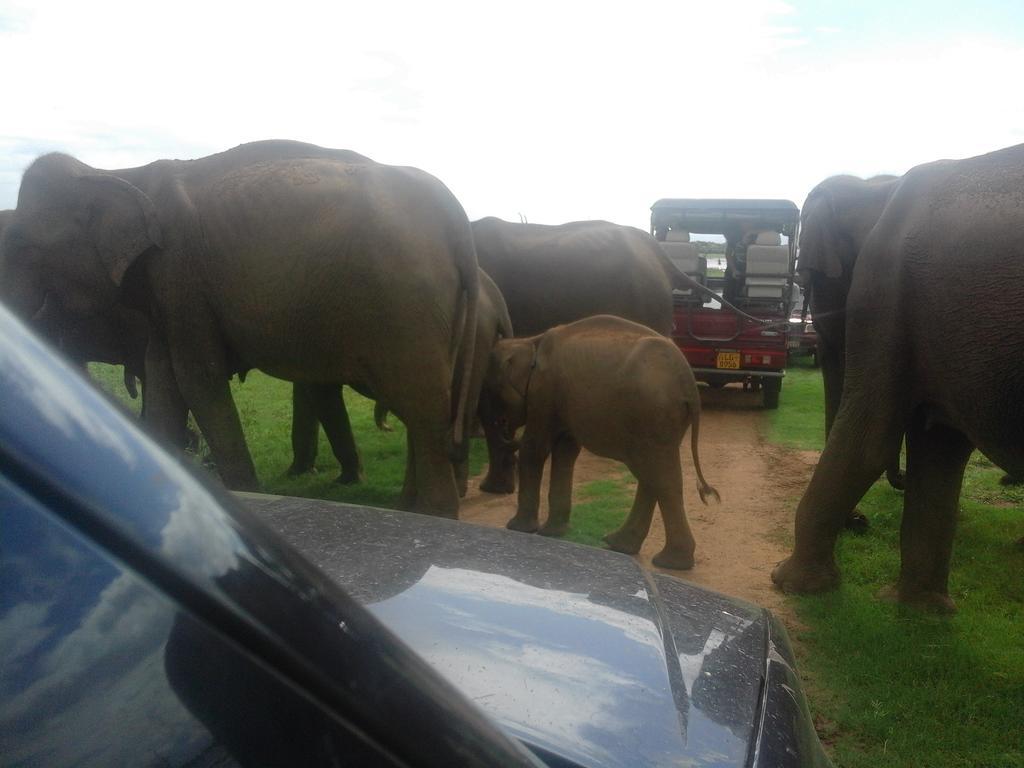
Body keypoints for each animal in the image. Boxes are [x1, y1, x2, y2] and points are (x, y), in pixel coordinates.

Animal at [0, 143, 479, 518]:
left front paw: (245, 499)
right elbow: (164, 383)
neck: (115, 174)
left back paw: (434, 516)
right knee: (421, 407)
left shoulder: (179, 275)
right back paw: (409, 511)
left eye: (20, 245)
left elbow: (199, 379)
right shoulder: (167, 293)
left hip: (405, 306)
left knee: (422, 407)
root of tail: (457, 221)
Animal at [487, 313, 720, 573]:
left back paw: (668, 562)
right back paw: (620, 545)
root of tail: (688, 381)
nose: (504, 428)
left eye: (490, 391)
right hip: (664, 419)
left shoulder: (543, 390)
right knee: (653, 474)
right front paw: (553, 533)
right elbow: (566, 450)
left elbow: (534, 448)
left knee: (659, 475)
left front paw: (517, 529)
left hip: (651, 414)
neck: (529, 341)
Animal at [770, 144, 1024, 614]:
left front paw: (788, 582)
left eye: (810, 276)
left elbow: (870, 439)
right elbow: (938, 446)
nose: (860, 523)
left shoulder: (887, 287)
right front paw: (920, 611)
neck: (879, 187)